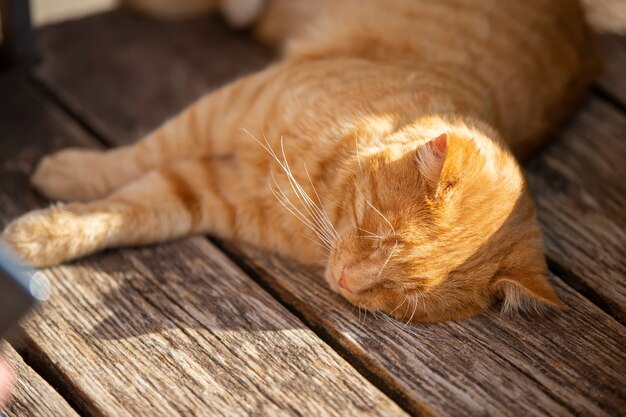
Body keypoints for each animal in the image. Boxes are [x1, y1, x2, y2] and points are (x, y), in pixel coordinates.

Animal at [1, 0, 596, 322]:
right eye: (375, 232)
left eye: (400, 296)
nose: (350, 283)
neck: (319, 194)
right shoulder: (220, 111)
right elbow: (132, 159)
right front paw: (65, 175)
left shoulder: (207, 191)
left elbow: (128, 211)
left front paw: (37, 236)